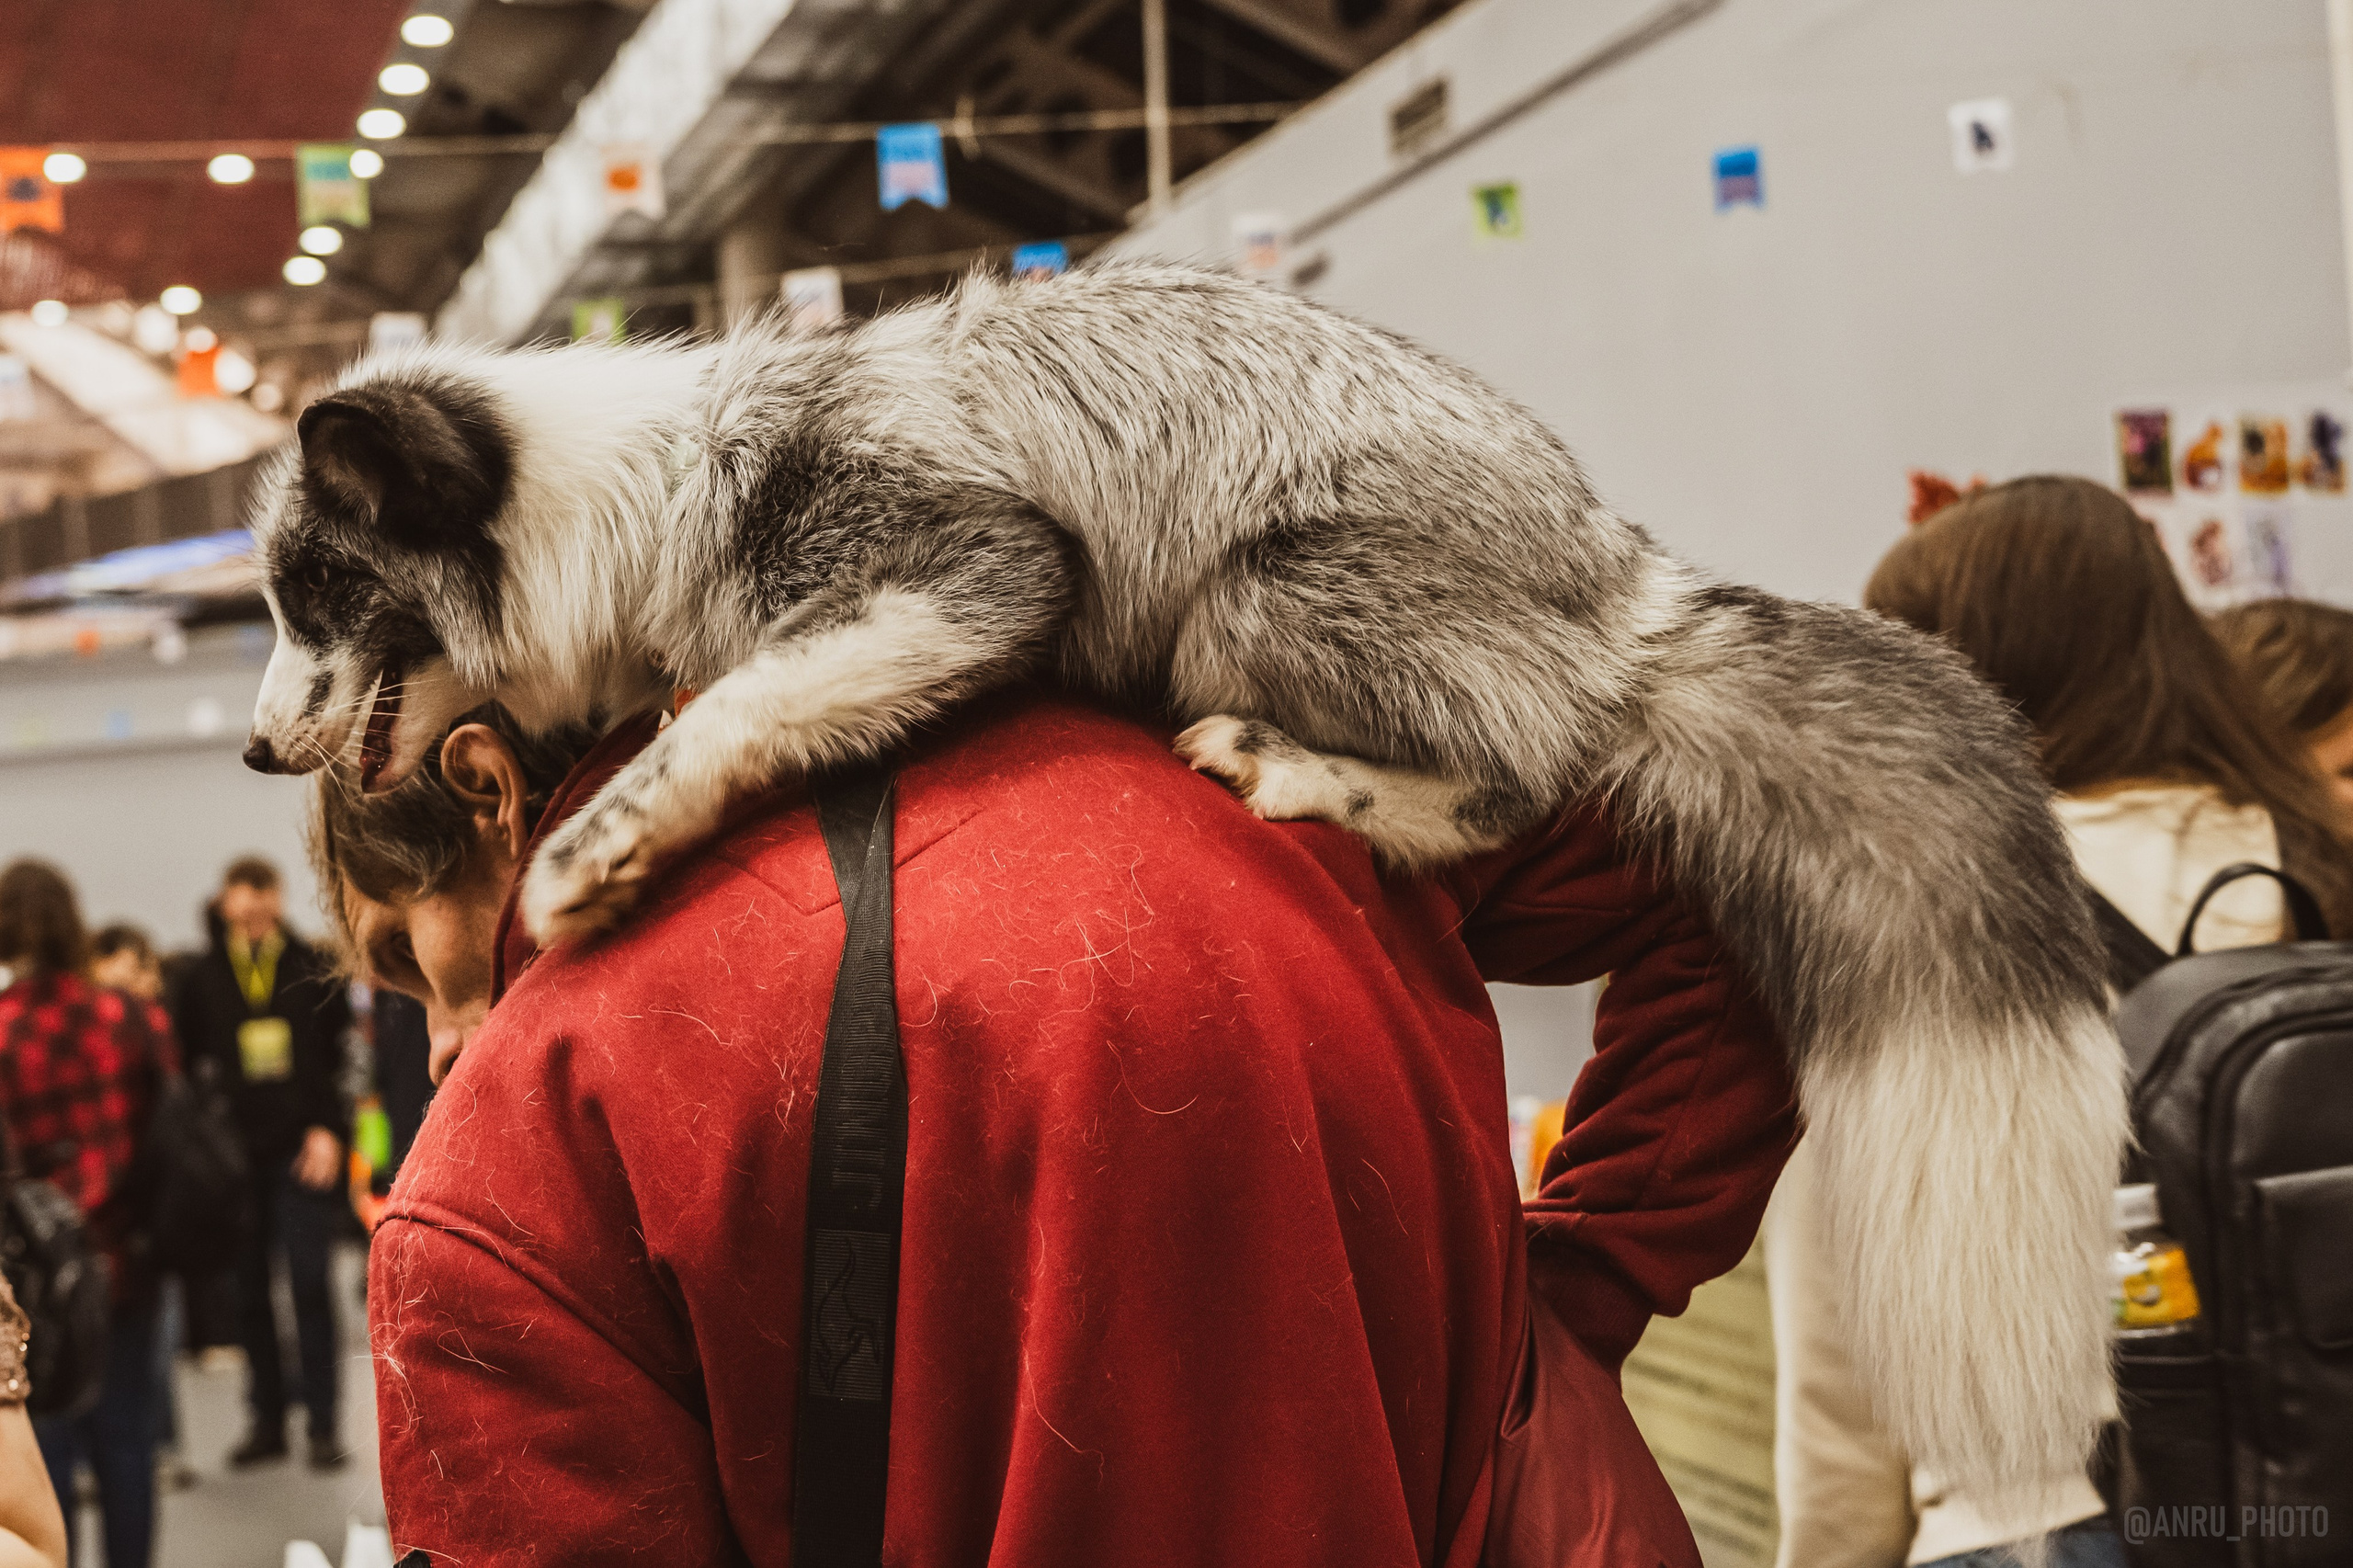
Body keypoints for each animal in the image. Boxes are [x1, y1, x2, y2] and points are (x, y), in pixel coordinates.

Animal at [243, 260, 2123, 1503]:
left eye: (319, 592)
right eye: (272, 603)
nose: (258, 749)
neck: (656, 489)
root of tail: (1626, 592)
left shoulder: (980, 567)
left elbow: (742, 703)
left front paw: (608, 836)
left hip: (1254, 592)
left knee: (1510, 780)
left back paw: (1304, 773)